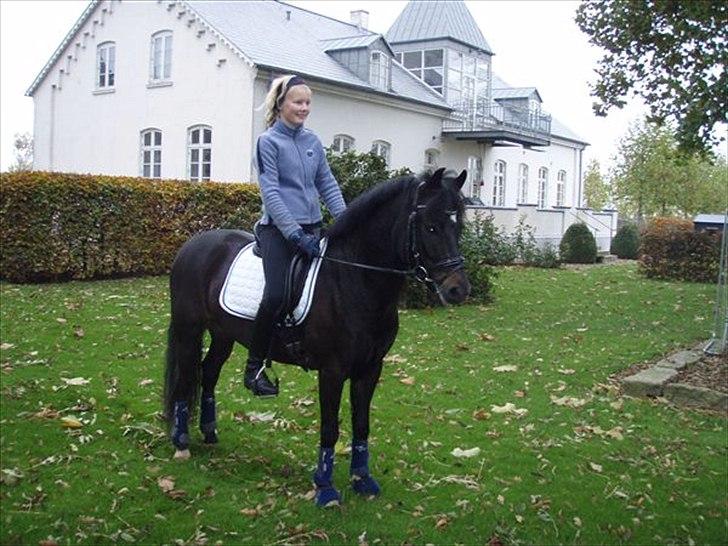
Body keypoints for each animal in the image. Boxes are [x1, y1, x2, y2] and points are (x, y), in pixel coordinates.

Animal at [162, 167, 470, 506]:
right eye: (431, 226)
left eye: (459, 226)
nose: (458, 289)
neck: (354, 279)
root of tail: (194, 243)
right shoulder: (332, 371)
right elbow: (330, 428)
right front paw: (325, 488)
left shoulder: (370, 369)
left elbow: (361, 425)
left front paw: (362, 480)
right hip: (189, 329)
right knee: (185, 378)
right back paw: (181, 441)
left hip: (222, 334)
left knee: (208, 373)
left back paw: (209, 431)